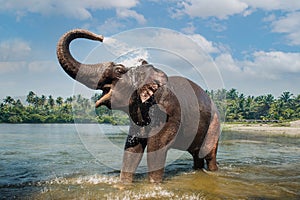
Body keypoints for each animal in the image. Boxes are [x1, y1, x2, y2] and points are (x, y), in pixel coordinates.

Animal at [56, 28, 220, 184]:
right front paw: (124, 184)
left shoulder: (168, 112)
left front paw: (153, 185)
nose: (100, 37)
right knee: (197, 157)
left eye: (118, 70)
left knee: (209, 155)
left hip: (214, 124)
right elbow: (132, 149)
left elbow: (156, 149)